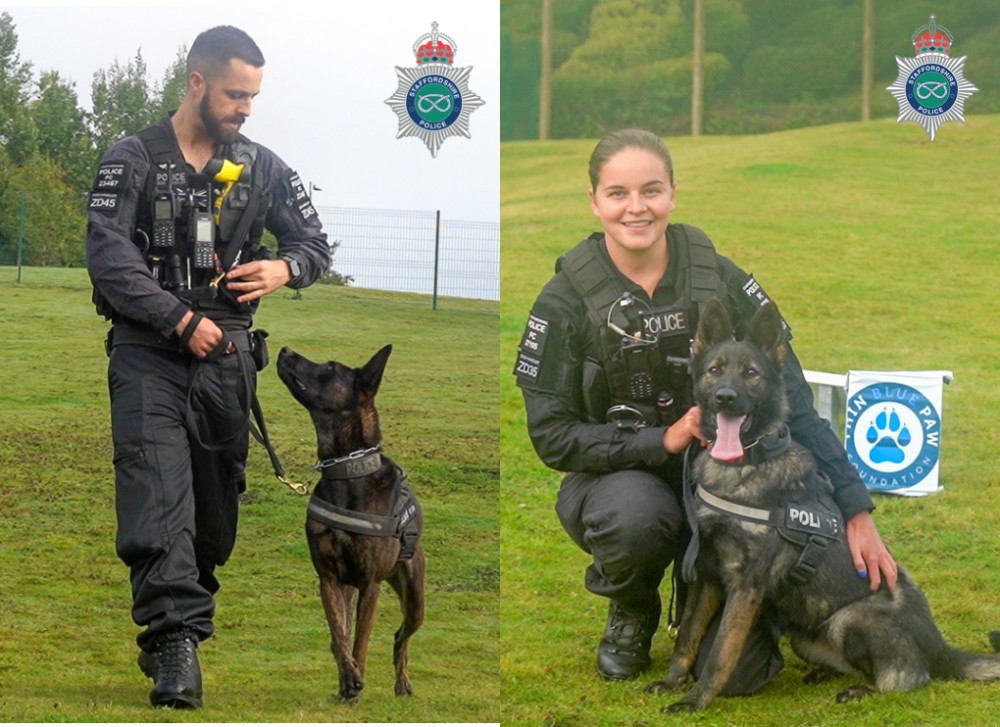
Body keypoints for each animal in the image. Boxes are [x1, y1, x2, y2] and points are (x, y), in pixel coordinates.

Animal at [278, 346, 426, 704]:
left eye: (330, 368)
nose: (285, 349)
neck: (346, 470)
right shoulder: (329, 579)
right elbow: (338, 634)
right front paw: (348, 681)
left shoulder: (370, 585)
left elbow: (360, 641)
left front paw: (355, 684)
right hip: (349, 588)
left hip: (415, 599)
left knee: (401, 635)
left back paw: (402, 683)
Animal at [648, 298, 1000, 712]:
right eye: (715, 371)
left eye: (750, 374)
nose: (725, 397)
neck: (741, 469)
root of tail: (939, 645)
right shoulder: (707, 577)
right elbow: (687, 636)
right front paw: (673, 682)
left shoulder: (745, 588)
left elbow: (719, 654)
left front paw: (694, 700)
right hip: (806, 636)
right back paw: (828, 674)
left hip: (850, 620)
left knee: (907, 679)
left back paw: (863, 690)